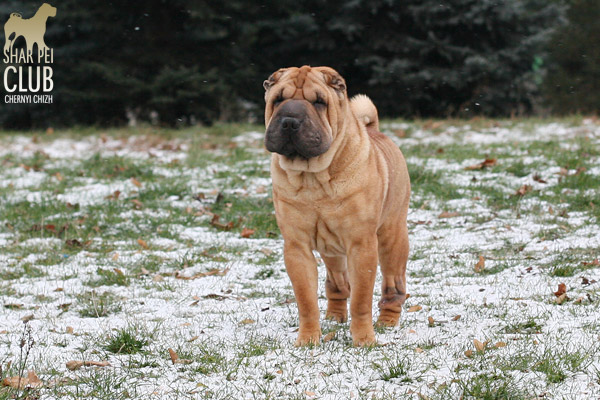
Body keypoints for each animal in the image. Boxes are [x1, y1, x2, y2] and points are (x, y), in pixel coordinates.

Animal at [264, 66, 410, 346]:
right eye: (278, 99)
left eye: (319, 102)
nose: (289, 120)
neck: (313, 177)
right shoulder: (297, 247)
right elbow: (306, 300)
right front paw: (308, 340)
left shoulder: (361, 244)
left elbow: (361, 300)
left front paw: (364, 340)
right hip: (331, 252)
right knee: (337, 283)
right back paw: (334, 316)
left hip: (392, 237)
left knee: (393, 284)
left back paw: (387, 322)